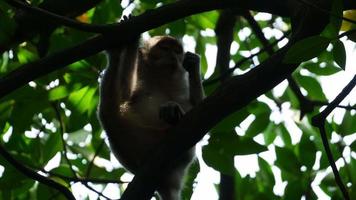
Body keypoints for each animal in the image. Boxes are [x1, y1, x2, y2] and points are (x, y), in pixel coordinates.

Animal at [98, 33, 203, 200]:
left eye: (177, 51)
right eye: (165, 48)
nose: (173, 56)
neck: (160, 77)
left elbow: (198, 113)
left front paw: (194, 65)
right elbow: (124, 97)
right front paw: (128, 46)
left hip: (185, 156)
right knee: (109, 112)